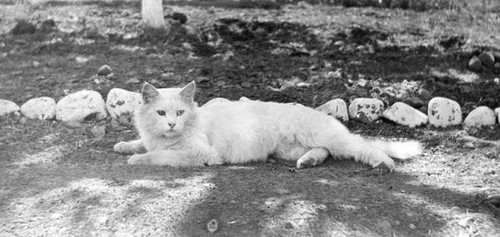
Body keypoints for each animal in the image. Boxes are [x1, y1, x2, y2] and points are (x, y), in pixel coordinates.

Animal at [113, 81, 422, 170]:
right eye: (161, 112)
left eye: (180, 112)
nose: (172, 123)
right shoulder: (152, 138)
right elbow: (143, 143)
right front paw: (124, 145)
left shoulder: (200, 154)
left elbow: (160, 155)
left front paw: (137, 159)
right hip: (288, 150)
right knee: (324, 152)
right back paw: (308, 162)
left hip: (328, 137)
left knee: (360, 146)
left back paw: (384, 163)